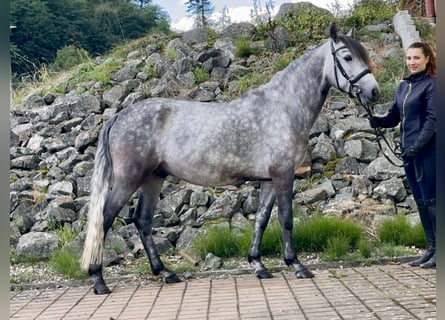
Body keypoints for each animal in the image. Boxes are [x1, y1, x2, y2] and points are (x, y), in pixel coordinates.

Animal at [80, 24, 378, 296]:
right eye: (347, 57)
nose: (374, 92)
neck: (283, 108)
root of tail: (120, 116)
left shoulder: (269, 179)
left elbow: (262, 218)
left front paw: (258, 265)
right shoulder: (283, 174)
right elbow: (286, 218)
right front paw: (297, 265)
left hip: (153, 178)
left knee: (142, 220)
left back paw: (165, 272)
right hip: (129, 179)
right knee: (104, 219)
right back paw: (99, 280)